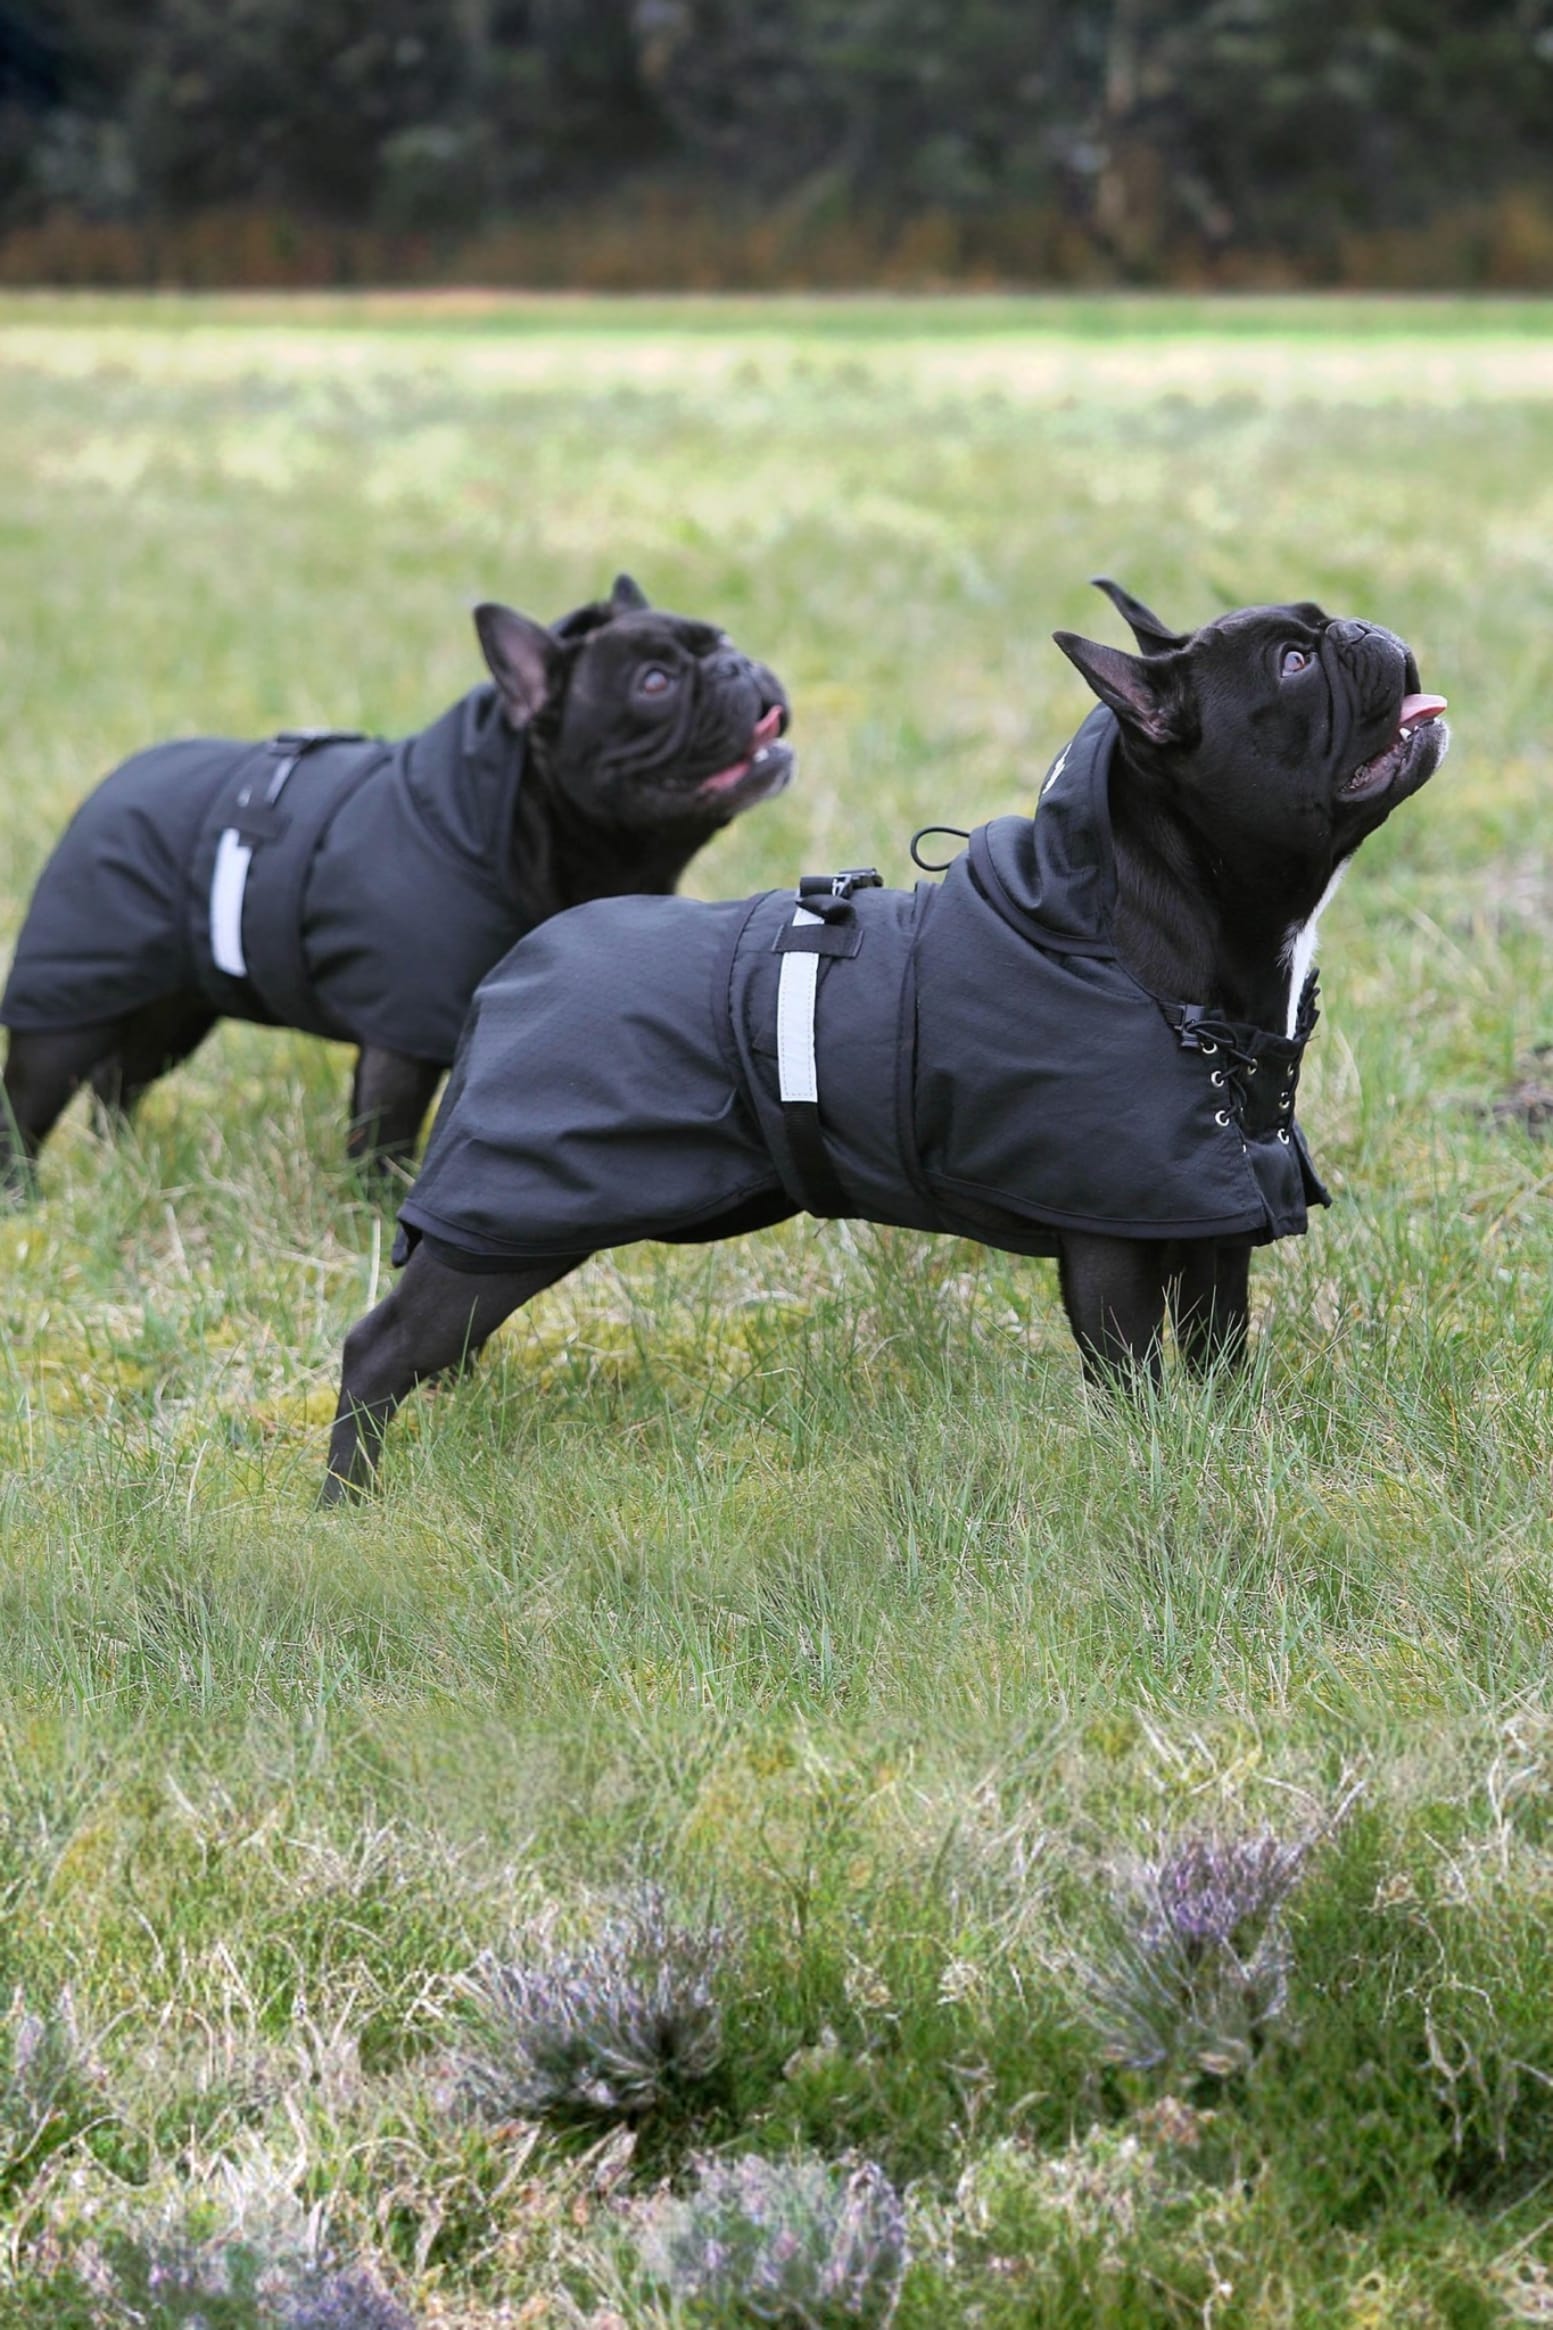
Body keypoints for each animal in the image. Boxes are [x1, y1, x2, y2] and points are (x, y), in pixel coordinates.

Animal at [0, 575, 792, 1190]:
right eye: (653, 682)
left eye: (722, 639)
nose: (736, 665)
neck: (511, 823)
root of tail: (110, 785)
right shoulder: (401, 1039)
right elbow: (385, 1136)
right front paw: (379, 1216)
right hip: (68, 1009)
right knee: (31, 1102)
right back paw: (23, 1197)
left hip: (174, 1008)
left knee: (120, 1082)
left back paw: (122, 1165)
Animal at [321, 581, 1448, 1499]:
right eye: (1291, 662)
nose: (1366, 630)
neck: (1138, 923)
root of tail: (512, 967)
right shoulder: (1110, 1245)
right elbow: (1131, 1380)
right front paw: (1151, 1468)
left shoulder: (1212, 1226)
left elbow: (1216, 1363)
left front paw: (1222, 1448)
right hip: (508, 1221)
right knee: (379, 1349)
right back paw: (348, 1509)